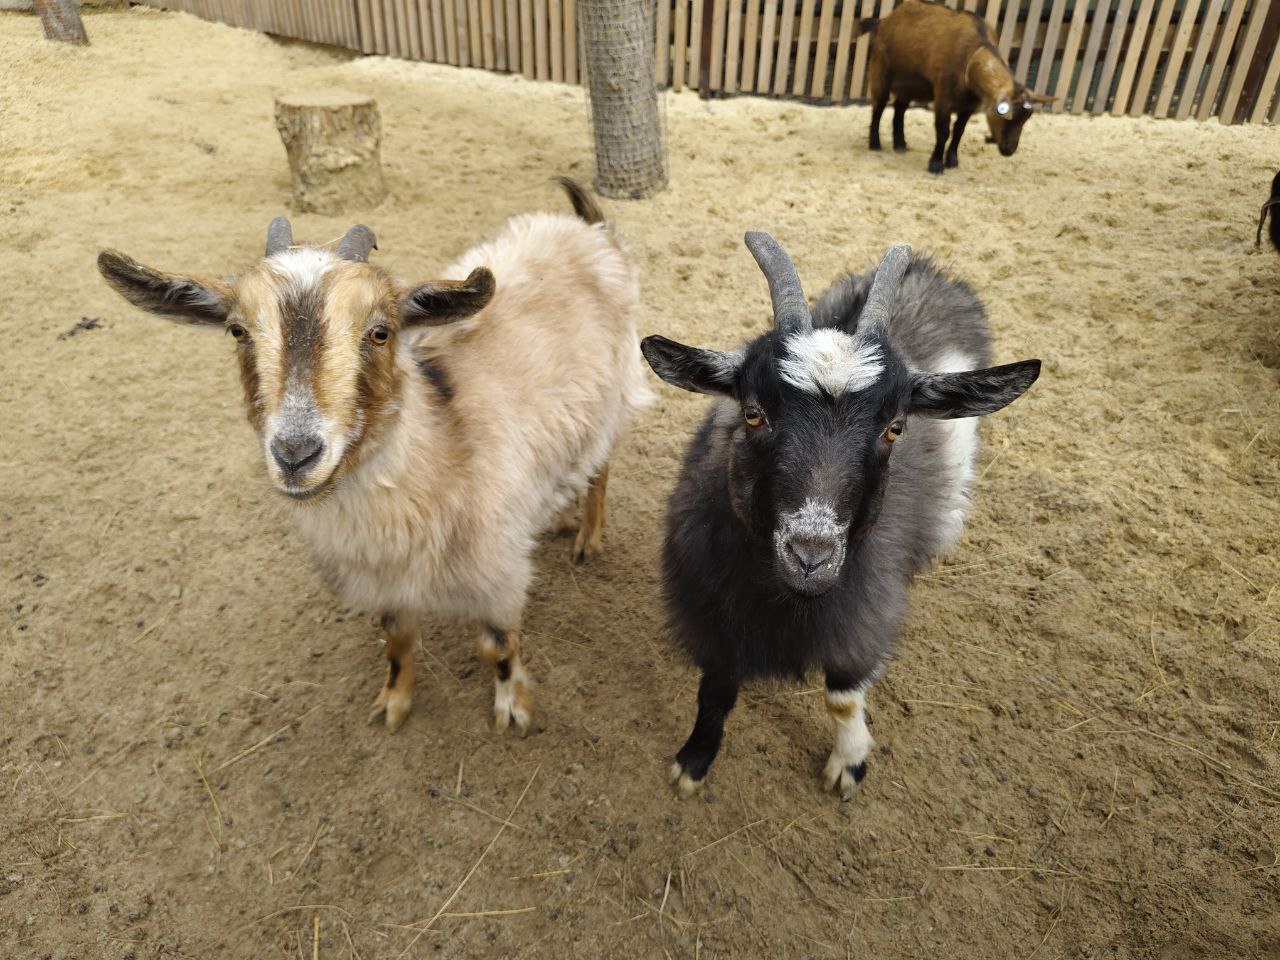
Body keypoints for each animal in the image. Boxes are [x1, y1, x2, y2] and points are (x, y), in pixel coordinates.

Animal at [97, 179, 652, 735]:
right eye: (237, 330)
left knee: (601, 463)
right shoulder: (388, 581)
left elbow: (495, 647)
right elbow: (397, 639)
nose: (296, 454)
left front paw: (513, 709)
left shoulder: (499, 569)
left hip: (614, 390)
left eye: (381, 331)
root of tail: (589, 227)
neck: (444, 448)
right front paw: (394, 702)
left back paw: (587, 536)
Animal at [641, 233, 1040, 799]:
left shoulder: (862, 615)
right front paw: (694, 761)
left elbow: (843, 695)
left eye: (896, 427)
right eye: (753, 412)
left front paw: (848, 762)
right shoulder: (714, 614)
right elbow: (714, 692)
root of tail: (931, 271)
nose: (811, 556)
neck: (787, 600)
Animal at [862, 0, 1054, 174]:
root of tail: (884, 20)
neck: (972, 56)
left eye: (1026, 118)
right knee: (879, 106)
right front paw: (936, 165)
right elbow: (943, 132)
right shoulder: (943, 98)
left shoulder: (968, 105)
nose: (1008, 150)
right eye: (1006, 116)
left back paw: (900, 144)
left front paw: (952, 161)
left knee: (900, 108)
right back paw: (875, 143)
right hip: (881, 70)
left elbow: (959, 131)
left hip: (911, 83)